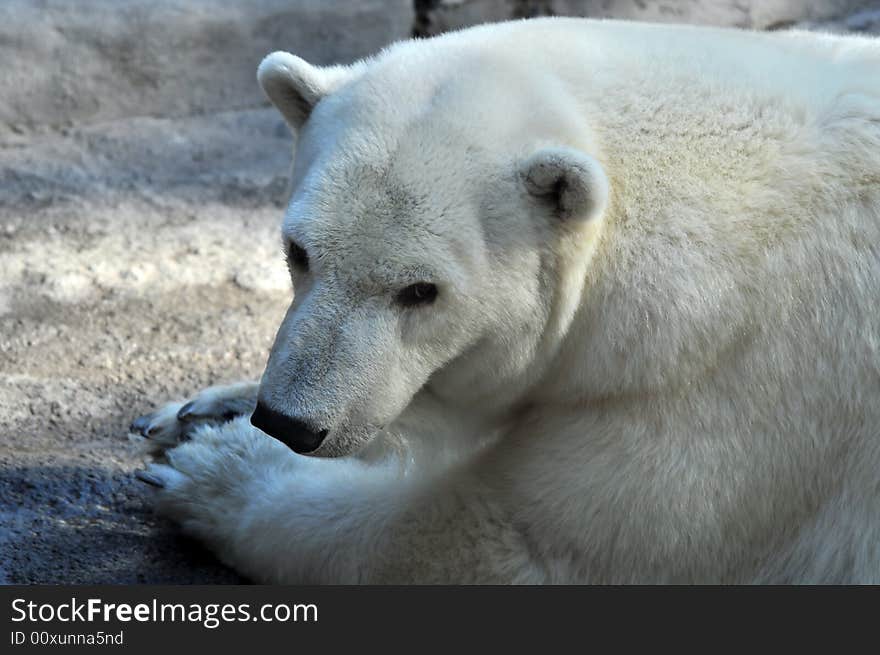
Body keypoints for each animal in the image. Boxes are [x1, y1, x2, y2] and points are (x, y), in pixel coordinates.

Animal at [131, 19, 880, 584]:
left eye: (421, 291)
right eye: (298, 252)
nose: (292, 423)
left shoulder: (745, 399)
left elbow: (514, 535)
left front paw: (214, 470)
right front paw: (198, 413)